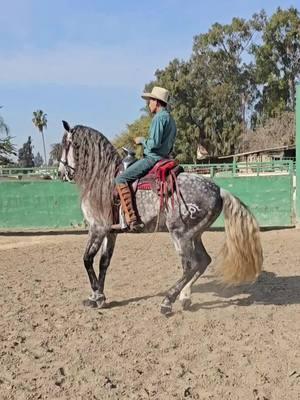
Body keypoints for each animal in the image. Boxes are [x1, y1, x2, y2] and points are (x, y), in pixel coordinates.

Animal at [58, 120, 262, 314]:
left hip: (180, 234)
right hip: (195, 235)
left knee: (191, 265)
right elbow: (104, 263)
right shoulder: (110, 232)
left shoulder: (97, 228)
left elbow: (87, 259)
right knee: (203, 261)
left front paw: (95, 295)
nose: (61, 173)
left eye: (65, 144)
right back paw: (184, 297)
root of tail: (219, 190)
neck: (102, 180)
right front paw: (98, 296)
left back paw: (167, 301)